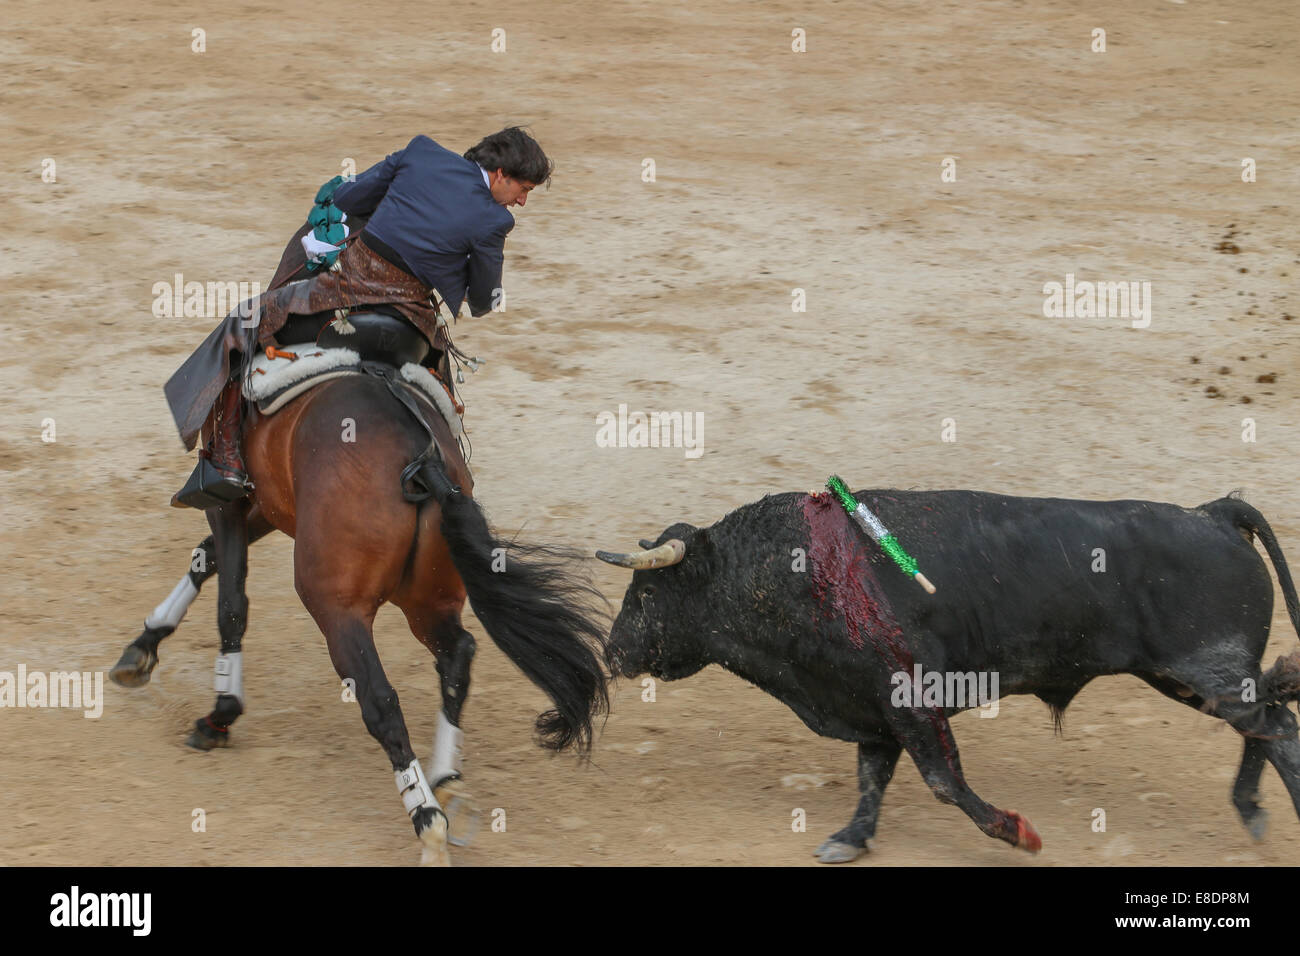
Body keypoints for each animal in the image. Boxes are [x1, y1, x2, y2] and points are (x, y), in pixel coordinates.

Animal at [110, 343, 608, 868]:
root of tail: (423, 461)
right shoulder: (269, 504)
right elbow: (206, 560)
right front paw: (143, 646)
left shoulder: (230, 500)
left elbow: (231, 600)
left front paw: (221, 712)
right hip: (427, 602)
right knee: (457, 655)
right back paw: (447, 782)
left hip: (338, 610)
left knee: (380, 700)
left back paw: (428, 823)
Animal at [595, 489, 1300, 863]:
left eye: (647, 594)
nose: (612, 653)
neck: (796, 572)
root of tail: (1213, 513)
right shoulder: (871, 706)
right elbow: (873, 776)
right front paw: (851, 838)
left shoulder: (911, 697)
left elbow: (942, 779)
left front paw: (1017, 831)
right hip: (1189, 680)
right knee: (1268, 722)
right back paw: (1249, 808)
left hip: (1208, 672)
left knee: (1276, 724)